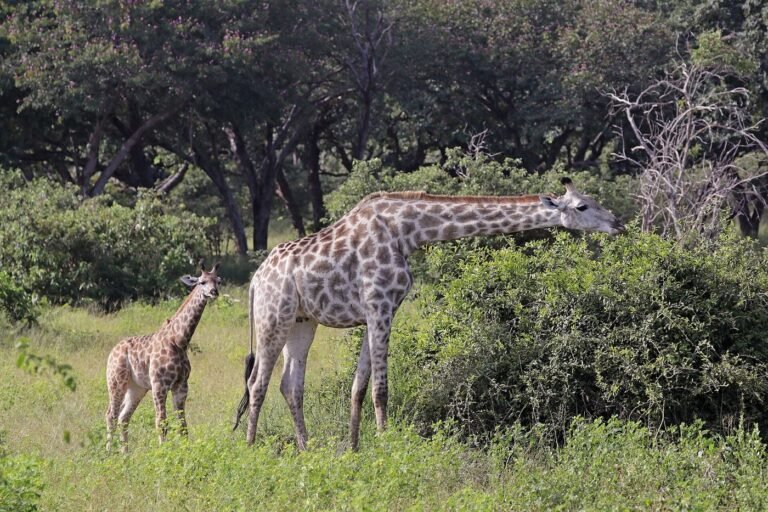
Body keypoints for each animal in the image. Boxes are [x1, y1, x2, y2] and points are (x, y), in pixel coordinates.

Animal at [105, 261, 221, 452]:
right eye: (202, 282)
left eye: (218, 281)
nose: (214, 292)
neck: (179, 341)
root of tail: (112, 352)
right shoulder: (159, 385)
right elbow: (161, 422)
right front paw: (163, 452)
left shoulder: (181, 386)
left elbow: (183, 424)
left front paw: (185, 451)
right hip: (116, 382)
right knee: (111, 415)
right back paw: (108, 452)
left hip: (137, 388)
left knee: (123, 417)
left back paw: (125, 453)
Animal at [233, 177, 624, 450]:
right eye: (583, 206)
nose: (618, 222)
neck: (408, 232)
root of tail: (255, 281)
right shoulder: (379, 304)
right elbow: (380, 389)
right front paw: (386, 447)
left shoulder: (378, 310)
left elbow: (358, 387)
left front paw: (354, 449)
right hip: (273, 316)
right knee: (257, 383)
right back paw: (251, 449)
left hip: (302, 321)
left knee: (290, 385)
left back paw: (307, 449)